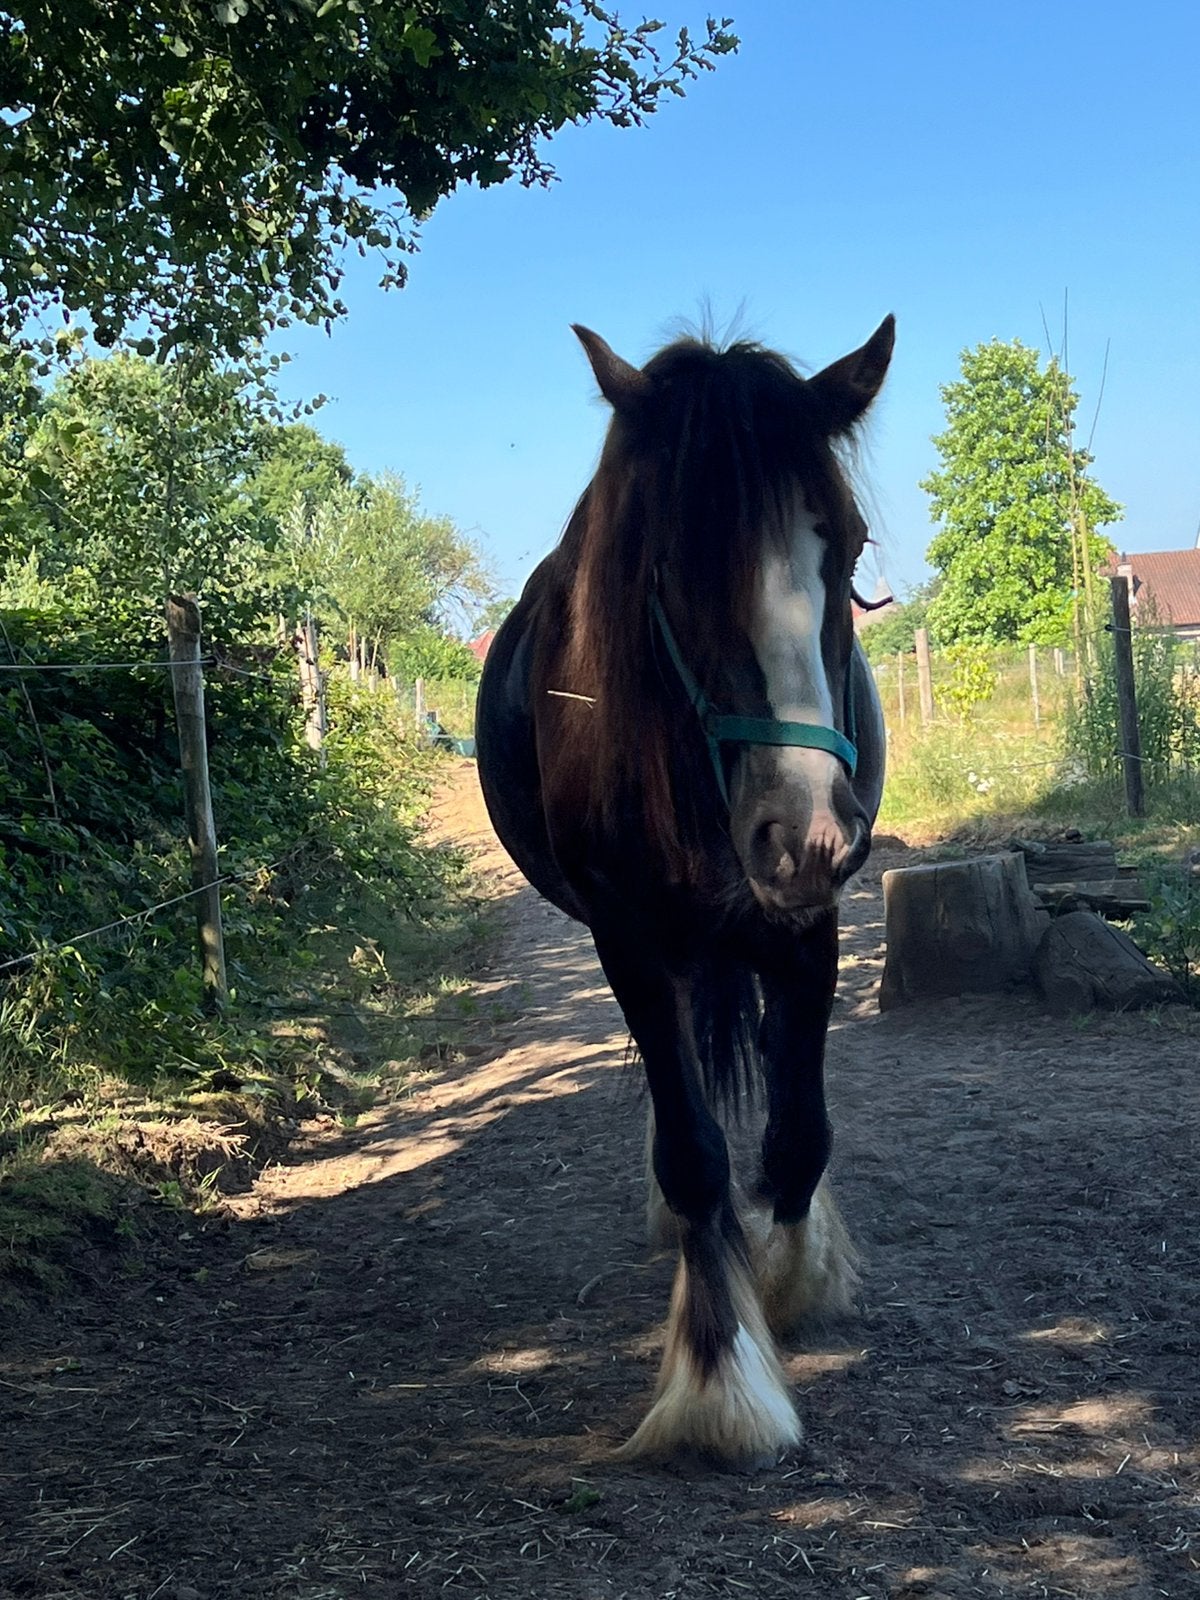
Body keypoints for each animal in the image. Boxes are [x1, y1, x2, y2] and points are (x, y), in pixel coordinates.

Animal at [475, 315, 893, 1466]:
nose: (807, 831)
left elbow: (796, 1137)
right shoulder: (628, 936)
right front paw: (722, 1377)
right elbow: (697, 1152)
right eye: (668, 564)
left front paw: (791, 1280)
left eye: (846, 546)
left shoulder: (808, 925)